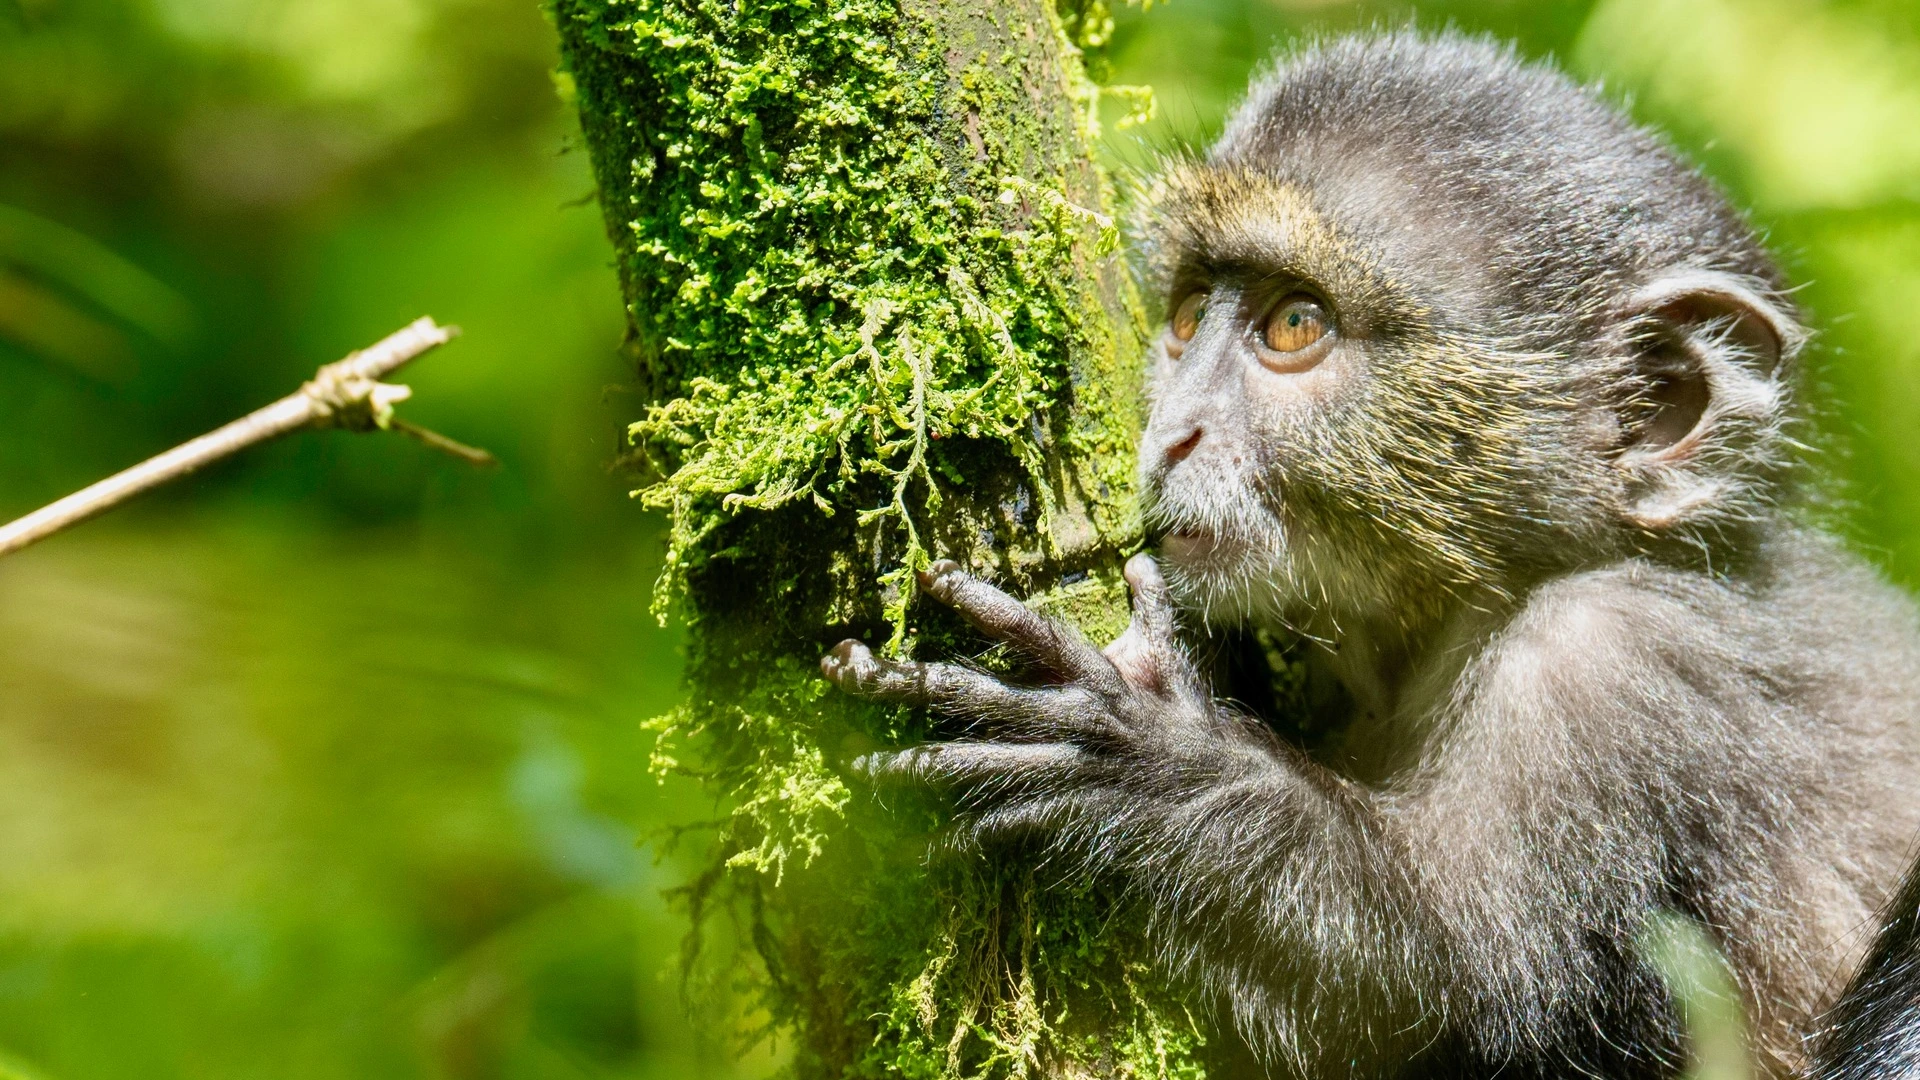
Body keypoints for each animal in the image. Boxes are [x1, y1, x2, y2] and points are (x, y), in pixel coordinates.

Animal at [818, 31, 1920, 1080]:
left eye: (1294, 324)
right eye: (1188, 316)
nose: (1169, 435)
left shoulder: (1615, 663)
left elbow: (1448, 979)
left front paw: (1139, 761)